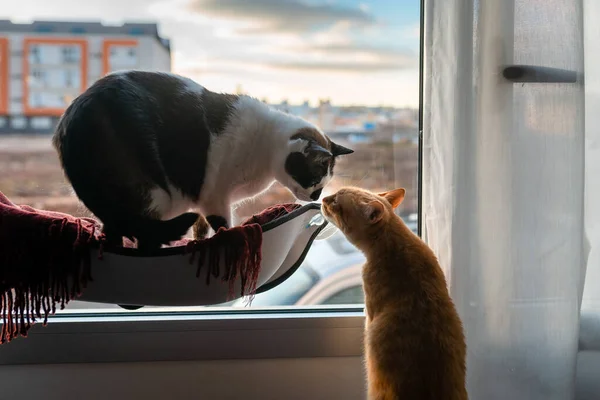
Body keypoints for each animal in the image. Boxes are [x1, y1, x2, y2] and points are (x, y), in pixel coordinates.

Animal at [54, 70, 354, 248]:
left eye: (323, 184)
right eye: (314, 180)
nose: (316, 197)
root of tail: (74, 116)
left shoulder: (200, 199)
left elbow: (201, 230)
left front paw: (199, 244)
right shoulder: (214, 197)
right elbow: (223, 227)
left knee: (115, 229)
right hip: (155, 195)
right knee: (144, 235)